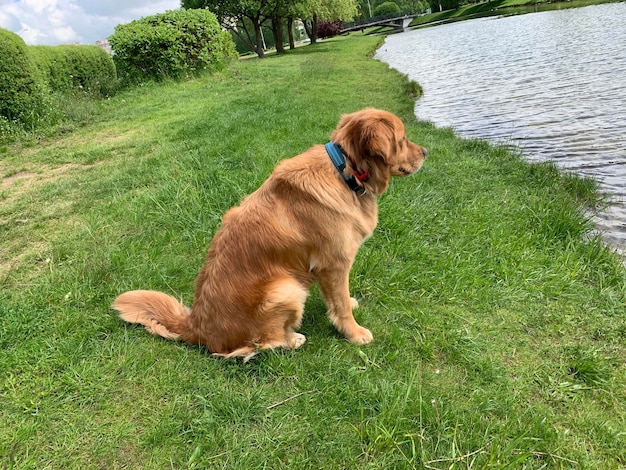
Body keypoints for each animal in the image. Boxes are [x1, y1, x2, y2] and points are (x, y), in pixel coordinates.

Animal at [112, 109, 424, 360]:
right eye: (403, 138)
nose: (425, 152)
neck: (344, 170)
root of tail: (195, 325)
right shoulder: (333, 264)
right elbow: (341, 306)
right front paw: (354, 333)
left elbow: (340, 299)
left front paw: (349, 304)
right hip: (287, 288)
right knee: (254, 347)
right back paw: (292, 339)